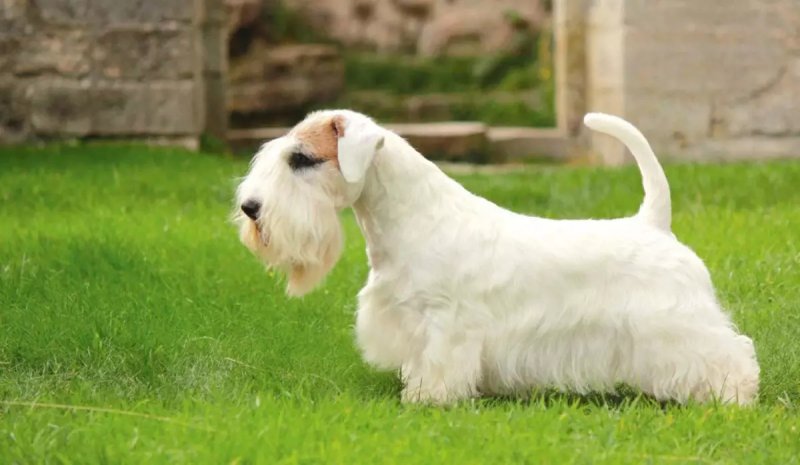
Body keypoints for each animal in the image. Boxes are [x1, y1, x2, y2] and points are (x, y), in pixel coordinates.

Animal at [234, 110, 760, 404]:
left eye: (302, 159)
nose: (250, 209)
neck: (416, 218)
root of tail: (654, 222)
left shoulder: (446, 323)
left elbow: (441, 365)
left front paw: (429, 400)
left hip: (680, 325)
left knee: (732, 353)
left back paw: (735, 396)